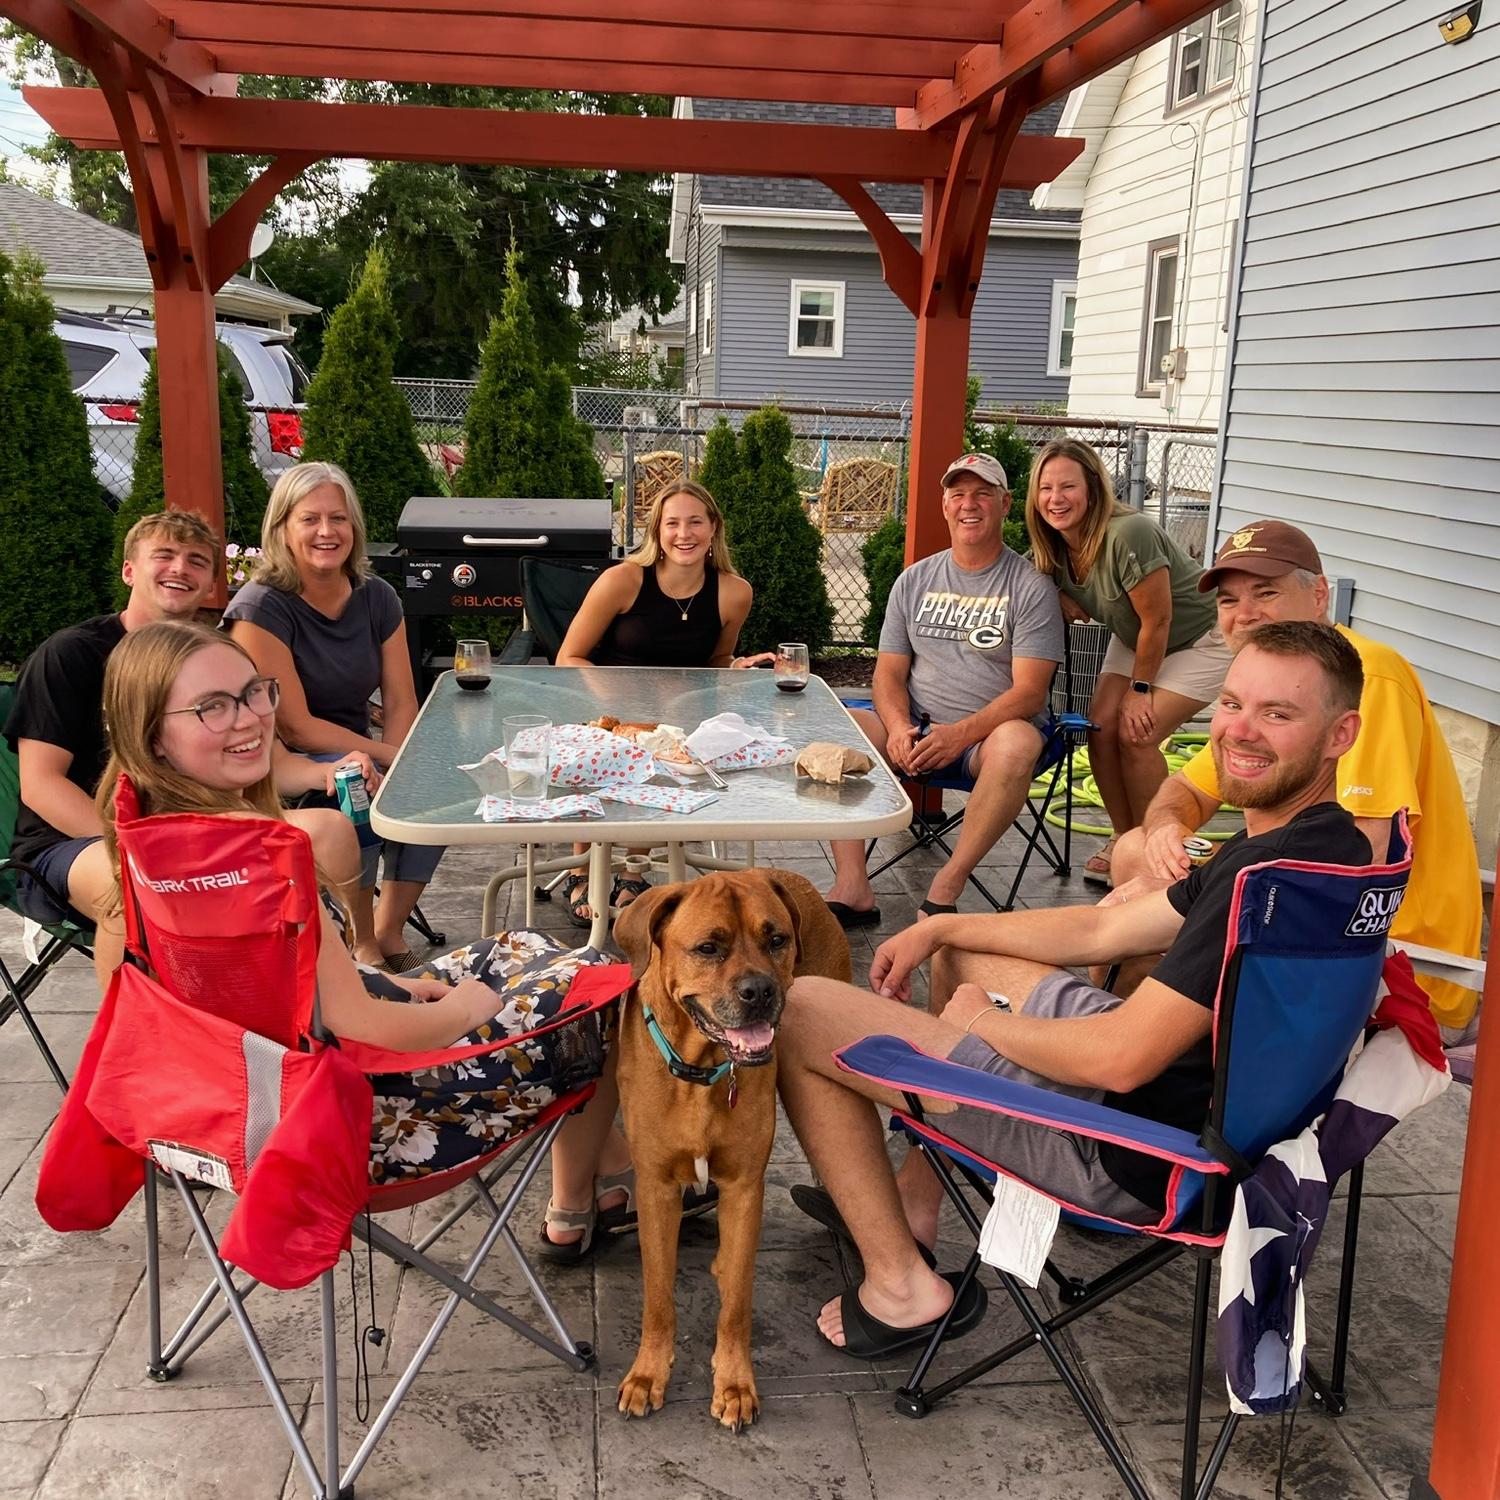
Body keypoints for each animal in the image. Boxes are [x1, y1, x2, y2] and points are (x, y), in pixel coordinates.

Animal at [612, 868, 851, 1431]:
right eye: (708, 947)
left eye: (776, 940)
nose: (760, 990)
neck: (702, 1068)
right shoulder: (656, 1188)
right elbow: (658, 1294)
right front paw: (648, 1373)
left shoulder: (745, 1187)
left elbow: (739, 1297)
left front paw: (736, 1382)